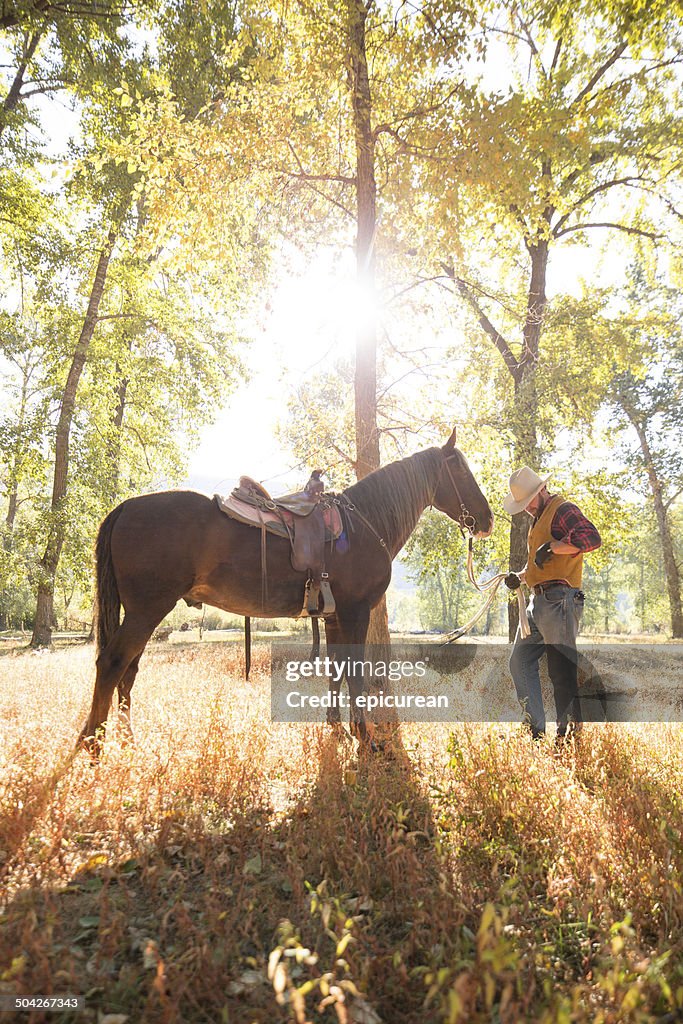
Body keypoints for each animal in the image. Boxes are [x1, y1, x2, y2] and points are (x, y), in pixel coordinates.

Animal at [80, 428, 491, 757]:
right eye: (460, 470)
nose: (486, 519)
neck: (364, 523)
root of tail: (126, 507)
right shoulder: (356, 612)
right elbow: (354, 670)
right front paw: (365, 737)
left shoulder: (334, 616)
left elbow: (336, 668)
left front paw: (337, 727)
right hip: (146, 610)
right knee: (112, 664)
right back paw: (93, 746)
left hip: (143, 612)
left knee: (128, 671)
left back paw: (126, 742)